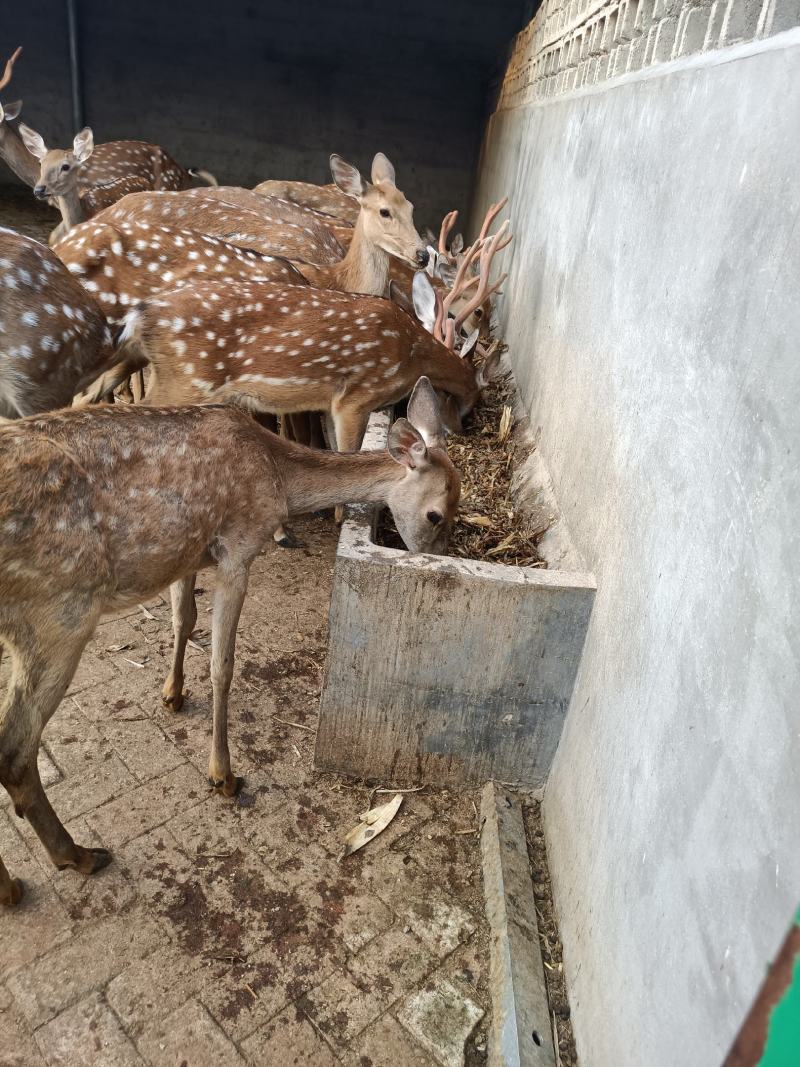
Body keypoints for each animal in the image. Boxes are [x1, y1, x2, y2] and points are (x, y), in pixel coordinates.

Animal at [0, 382, 457, 906]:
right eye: (436, 514)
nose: (438, 562)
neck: (279, 477)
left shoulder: (186, 553)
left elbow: (182, 619)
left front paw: (172, 694)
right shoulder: (239, 546)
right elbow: (222, 663)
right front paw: (223, 775)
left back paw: (12, 883)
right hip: (59, 613)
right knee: (14, 748)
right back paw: (75, 857)